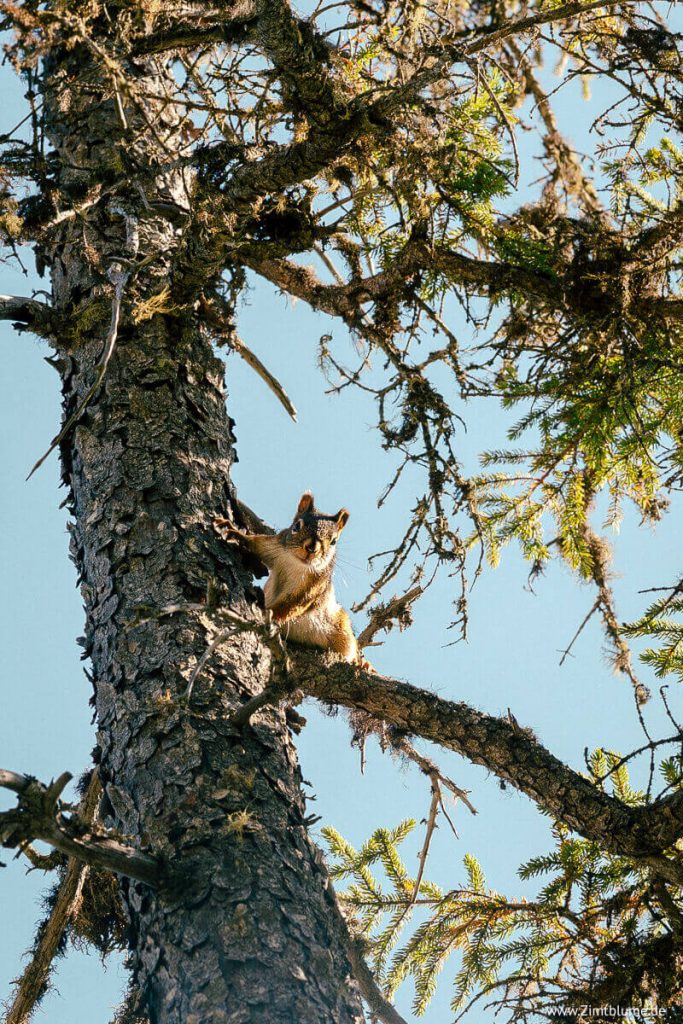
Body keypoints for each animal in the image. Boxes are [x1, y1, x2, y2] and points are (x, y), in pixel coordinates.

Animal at [214, 492, 369, 667]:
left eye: (334, 541)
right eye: (296, 526)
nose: (312, 548)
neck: (295, 563)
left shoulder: (313, 586)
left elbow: (291, 605)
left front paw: (267, 614)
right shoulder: (273, 547)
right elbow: (256, 545)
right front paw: (235, 533)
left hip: (342, 629)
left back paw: (362, 663)